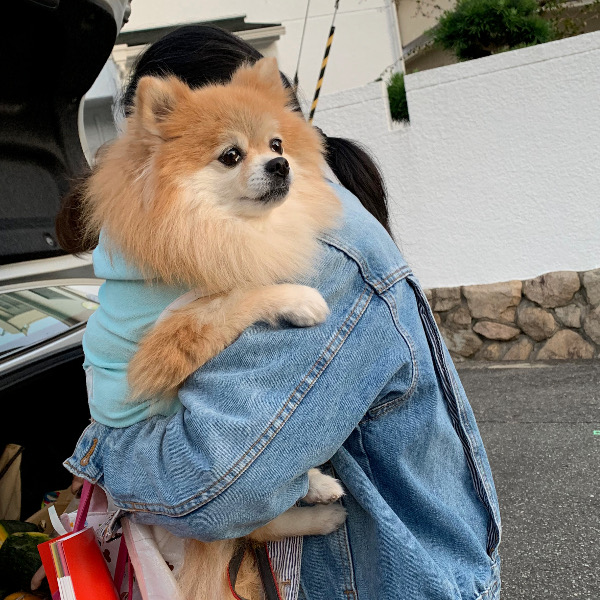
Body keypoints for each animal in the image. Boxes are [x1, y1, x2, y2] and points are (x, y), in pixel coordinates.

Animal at [82, 57, 350, 600]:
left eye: (276, 145)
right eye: (230, 155)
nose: (280, 166)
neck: (218, 227)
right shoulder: (167, 342)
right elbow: (235, 294)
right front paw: (300, 299)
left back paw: (321, 492)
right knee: (258, 520)